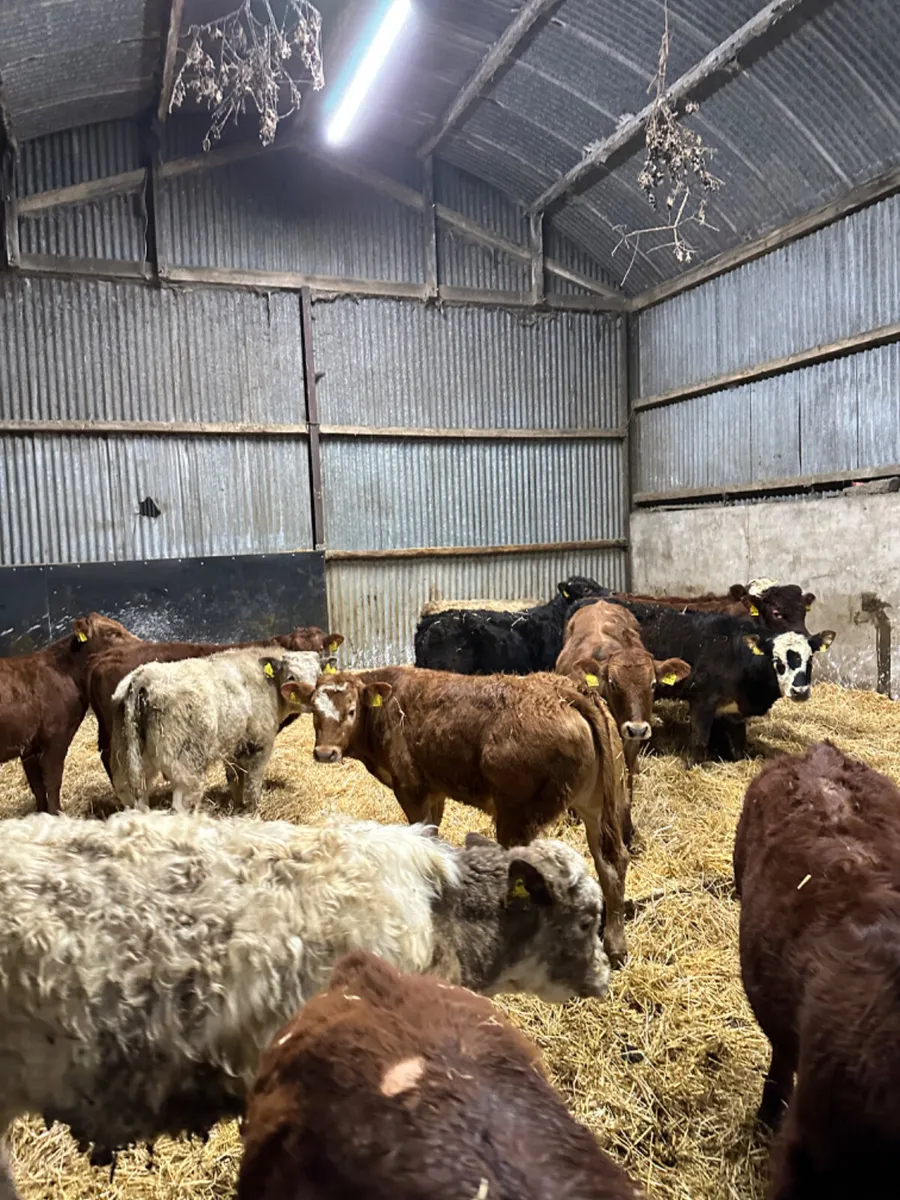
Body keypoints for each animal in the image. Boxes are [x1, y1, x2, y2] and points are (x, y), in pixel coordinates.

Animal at [0, 613, 138, 815]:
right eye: (111, 633)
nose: (140, 643)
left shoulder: (29, 746)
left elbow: (37, 785)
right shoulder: (56, 737)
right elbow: (53, 779)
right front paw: (57, 812)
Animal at [109, 648, 322, 812]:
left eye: (319, 675)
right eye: (291, 677)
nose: (311, 697)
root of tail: (144, 676)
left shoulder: (234, 747)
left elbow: (235, 779)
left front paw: (238, 807)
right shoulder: (260, 746)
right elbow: (252, 786)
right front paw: (252, 812)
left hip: (129, 768)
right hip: (187, 769)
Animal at [295, 666, 630, 966]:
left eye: (351, 710)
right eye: (314, 711)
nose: (325, 752)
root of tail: (566, 691)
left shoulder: (410, 789)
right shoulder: (435, 791)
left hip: (517, 814)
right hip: (599, 804)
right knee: (610, 862)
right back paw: (615, 945)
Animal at [592, 601, 834, 763]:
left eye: (810, 658)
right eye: (777, 660)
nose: (800, 691)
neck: (737, 655)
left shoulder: (735, 713)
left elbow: (738, 746)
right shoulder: (702, 701)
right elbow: (699, 742)